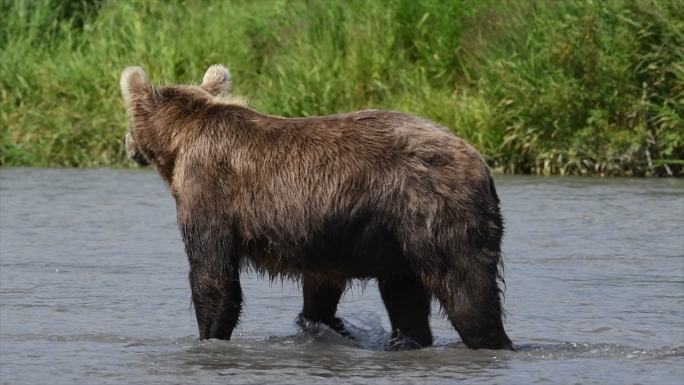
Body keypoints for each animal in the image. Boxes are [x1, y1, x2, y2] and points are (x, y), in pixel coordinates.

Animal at [120, 64, 512, 350]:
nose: (127, 144)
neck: (179, 146)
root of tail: (482, 164)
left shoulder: (209, 191)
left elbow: (213, 275)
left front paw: (209, 336)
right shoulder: (322, 237)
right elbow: (320, 292)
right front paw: (322, 325)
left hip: (436, 212)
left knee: (468, 291)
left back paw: (490, 340)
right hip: (399, 236)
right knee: (406, 297)